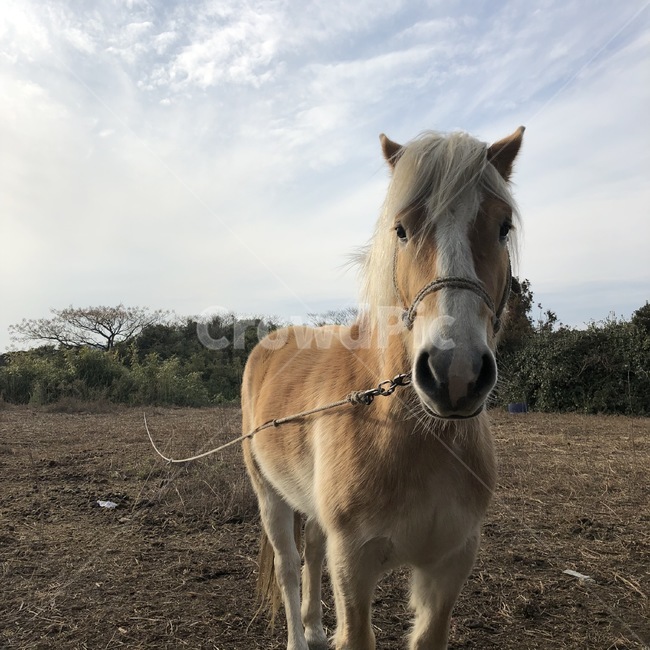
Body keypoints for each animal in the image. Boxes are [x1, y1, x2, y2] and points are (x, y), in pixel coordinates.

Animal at [241, 126, 525, 650]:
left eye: (502, 227)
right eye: (402, 230)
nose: (455, 372)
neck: (417, 436)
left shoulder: (449, 566)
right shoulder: (353, 564)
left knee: (313, 551)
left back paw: (315, 630)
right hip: (268, 494)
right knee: (290, 566)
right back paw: (297, 636)